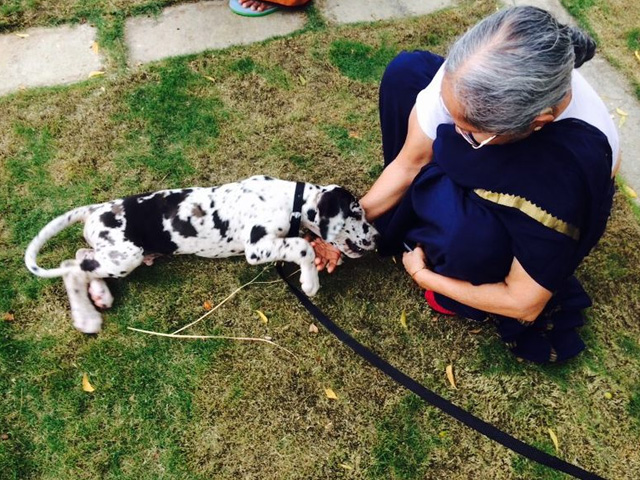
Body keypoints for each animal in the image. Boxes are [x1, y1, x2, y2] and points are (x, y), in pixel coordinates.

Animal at [25, 176, 378, 334]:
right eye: (357, 213)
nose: (377, 236)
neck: (290, 200)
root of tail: (96, 210)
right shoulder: (256, 247)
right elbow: (302, 246)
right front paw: (310, 281)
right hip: (125, 255)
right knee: (73, 266)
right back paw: (86, 316)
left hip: (116, 254)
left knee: (81, 258)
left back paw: (99, 294)